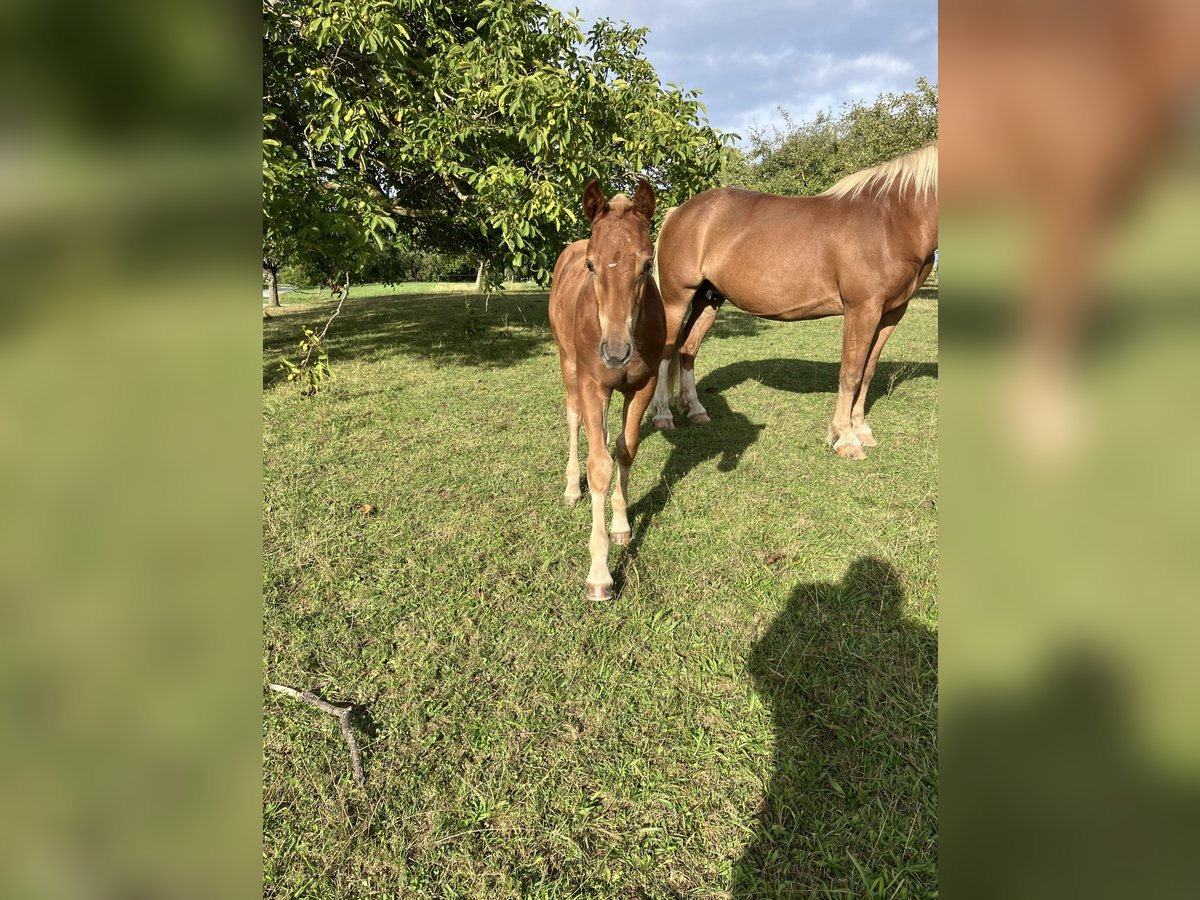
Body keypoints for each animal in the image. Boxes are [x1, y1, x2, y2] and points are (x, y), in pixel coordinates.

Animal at [549, 177, 667, 600]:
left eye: (647, 264)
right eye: (591, 265)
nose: (615, 353)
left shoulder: (644, 386)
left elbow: (625, 448)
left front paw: (621, 524)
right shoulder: (592, 386)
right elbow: (599, 465)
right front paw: (599, 574)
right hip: (568, 364)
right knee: (572, 419)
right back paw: (571, 487)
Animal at [648, 146, 936, 465]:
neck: (892, 220)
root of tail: (679, 212)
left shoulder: (891, 313)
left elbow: (868, 371)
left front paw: (861, 430)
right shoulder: (862, 309)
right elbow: (851, 373)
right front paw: (845, 439)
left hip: (708, 300)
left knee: (688, 350)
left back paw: (696, 410)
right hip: (676, 299)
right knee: (666, 352)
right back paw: (662, 415)